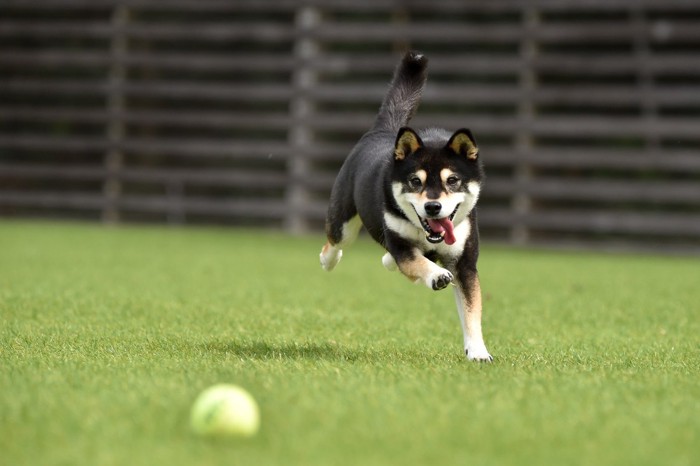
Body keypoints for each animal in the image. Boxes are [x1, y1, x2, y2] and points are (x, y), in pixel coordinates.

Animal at [318, 52, 492, 364]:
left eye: (452, 180)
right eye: (415, 181)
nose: (433, 207)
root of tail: (382, 131)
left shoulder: (465, 263)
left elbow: (472, 311)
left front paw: (478, 352)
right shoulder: (401, 245)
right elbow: (417, 262)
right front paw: (436, 276)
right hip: (343, 223)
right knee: (335, 241)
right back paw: (328, 259)